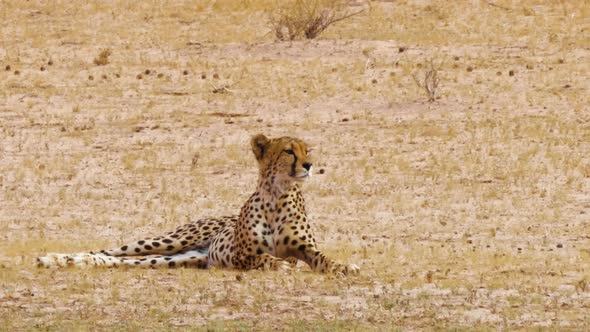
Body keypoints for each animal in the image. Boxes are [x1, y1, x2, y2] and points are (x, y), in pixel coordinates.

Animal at [38, 134, 360, 274]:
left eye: (307, 150)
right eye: (288, 151)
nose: (309, 165)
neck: (278, 194)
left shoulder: (305, 249)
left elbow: (323, 258)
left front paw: (344, 266)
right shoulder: (242, 255)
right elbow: (263, 258)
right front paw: (277, 264)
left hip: (180, 257)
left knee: (119, 260)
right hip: (167, 241)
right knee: (109, 251)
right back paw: (56, 258)